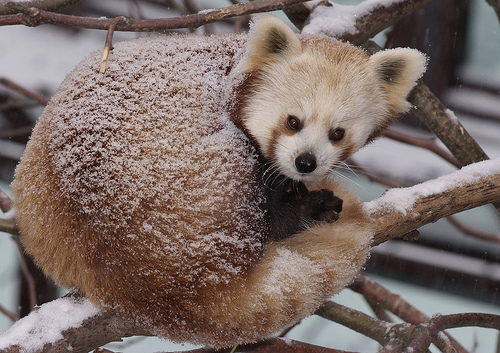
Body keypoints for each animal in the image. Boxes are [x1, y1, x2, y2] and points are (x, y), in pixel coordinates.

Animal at [11, 15, 426, 346]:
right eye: (293, 122)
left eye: (337, 133)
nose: (305, 163)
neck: (231, 60)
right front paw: (303, 199)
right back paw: (309, 208)